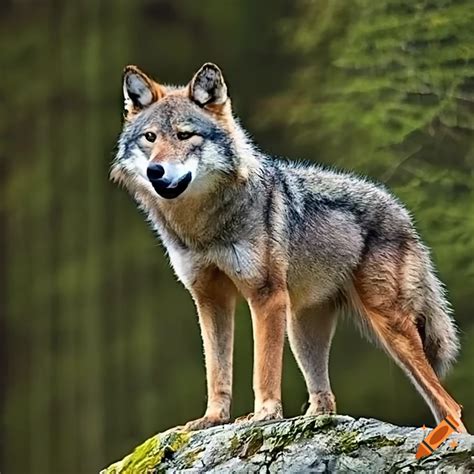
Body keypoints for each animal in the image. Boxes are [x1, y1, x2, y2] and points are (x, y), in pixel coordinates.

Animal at [110, 61, 466, 432]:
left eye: (184, 135)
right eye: (150, 138)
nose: (155, 171)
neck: (203, 226)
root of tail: (401, 211)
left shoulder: (266, 295)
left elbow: (263, 367)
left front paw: (265, 415)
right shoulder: (210, 299)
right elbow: (217, 371)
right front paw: (213, 419)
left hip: (389, 328)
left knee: (449, 406)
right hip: (301, 330)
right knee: (326, 402)